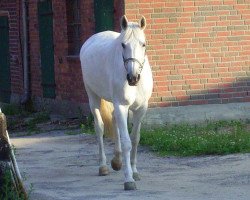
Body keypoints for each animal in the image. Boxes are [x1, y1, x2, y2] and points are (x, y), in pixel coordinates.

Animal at [80, 14, 152, 190]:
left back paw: (117, 161)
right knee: (99, 127)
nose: (133, 78)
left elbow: (135, 138)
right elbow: (127, 142)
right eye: (123, 45)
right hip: (93, 97)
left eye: (143, 44)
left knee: (114, 122)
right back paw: (103, 166)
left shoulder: (141, 109)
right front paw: (129, 180)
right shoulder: (121, 106)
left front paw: (134, 171)